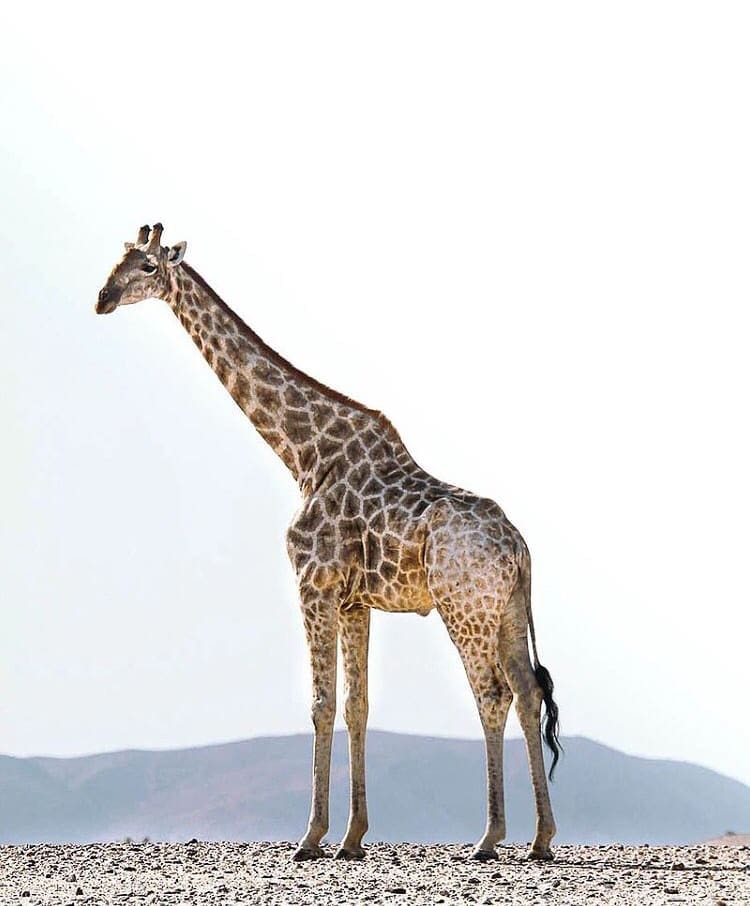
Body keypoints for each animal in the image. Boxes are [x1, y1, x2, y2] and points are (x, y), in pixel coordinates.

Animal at [96, 224, 561, 862]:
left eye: (145, 266)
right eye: (116, 259)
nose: (103, 299)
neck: (302, 454)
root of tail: (518, 546)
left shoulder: (311, 584)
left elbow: (319, 704)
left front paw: (311, 836)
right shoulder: (355, 601)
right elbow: (356, 706)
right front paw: (353, 837)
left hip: (464, 608)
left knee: (491, 694)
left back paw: (489, 837)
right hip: (509, 609)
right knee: (528, 691)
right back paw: (541, 838)